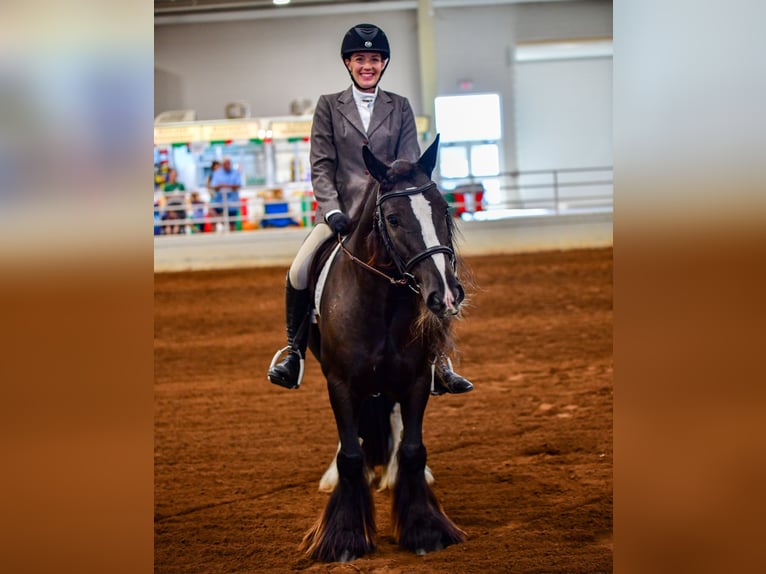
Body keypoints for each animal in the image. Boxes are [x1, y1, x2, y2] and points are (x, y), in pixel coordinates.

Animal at [300, 137, 468, 564]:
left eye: (444, 210)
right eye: (392, 219)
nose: (445, 294)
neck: (380, 301)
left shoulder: (416, 379)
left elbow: (412, 448)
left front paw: (425, 530)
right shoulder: (340, 382)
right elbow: (350, 454)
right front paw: (344, 538)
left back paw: (391, 475)